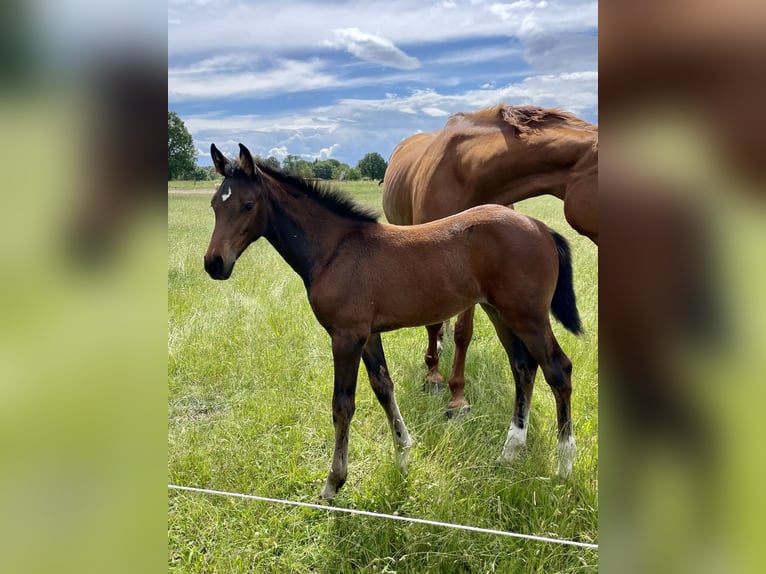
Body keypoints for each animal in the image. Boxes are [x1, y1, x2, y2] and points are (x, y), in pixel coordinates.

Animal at [204, 143, 584, 500]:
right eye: (214, 205)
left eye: (248, 205)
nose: (214, 263)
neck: (333, 250)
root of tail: (541, 227)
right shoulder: (368, 335)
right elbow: (384, 388)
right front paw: (403, 456)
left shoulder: (345, 336)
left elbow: (342, 405)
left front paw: (333, 483)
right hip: (500, 312)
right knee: (523, 367)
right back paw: (510, 452)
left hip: (528, 316)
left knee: (558, 369)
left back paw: (565, 466)